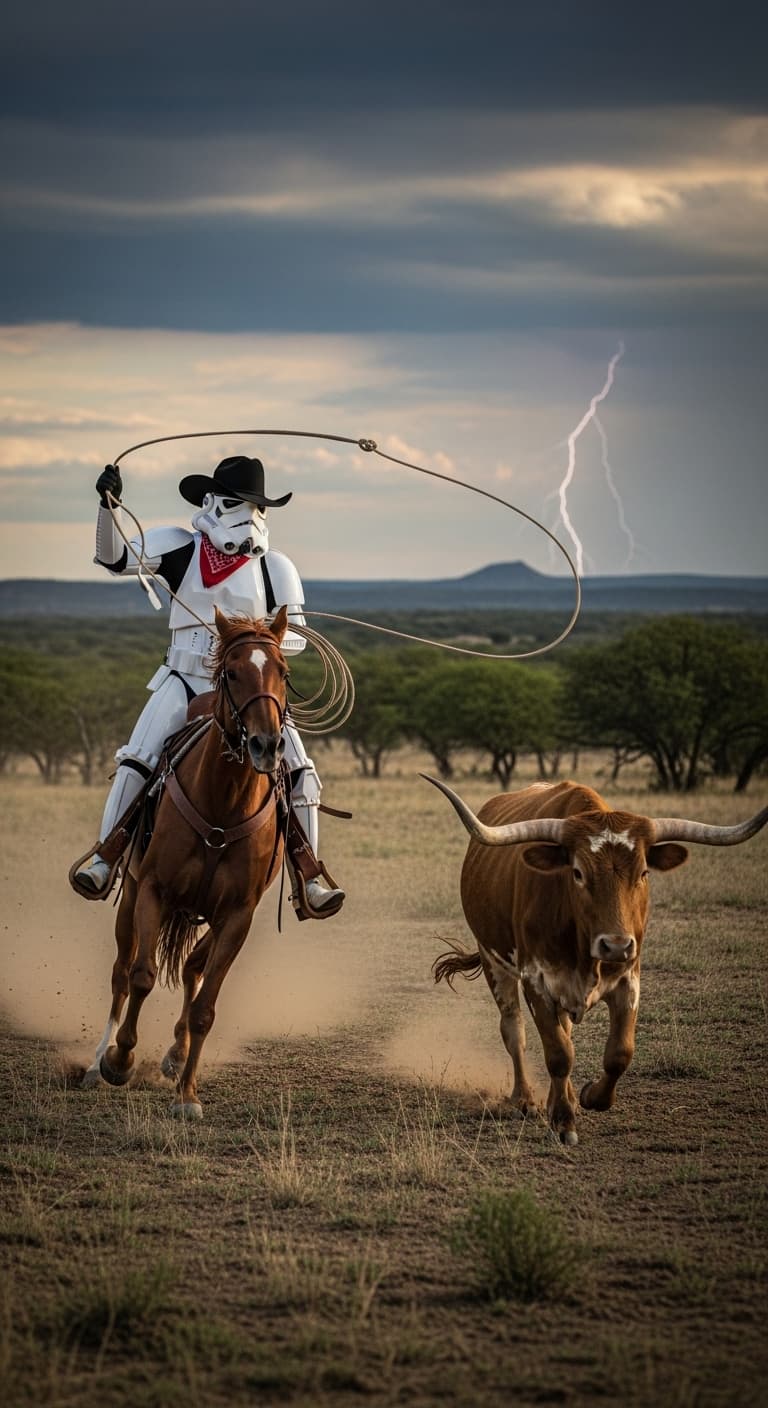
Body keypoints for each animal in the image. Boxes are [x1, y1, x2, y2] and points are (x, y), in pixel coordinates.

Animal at [427, 775, 768, 1145]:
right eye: (577, 873)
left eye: (644, 872)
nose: (615, 945)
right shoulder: (536, 980)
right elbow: (558, 1054)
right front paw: (564, 1123)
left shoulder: (629, 981)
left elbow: (619, 1053)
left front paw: (588, 1096)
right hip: (494, 961)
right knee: (514, 1029)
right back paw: (525, 1099)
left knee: (563, 1031)